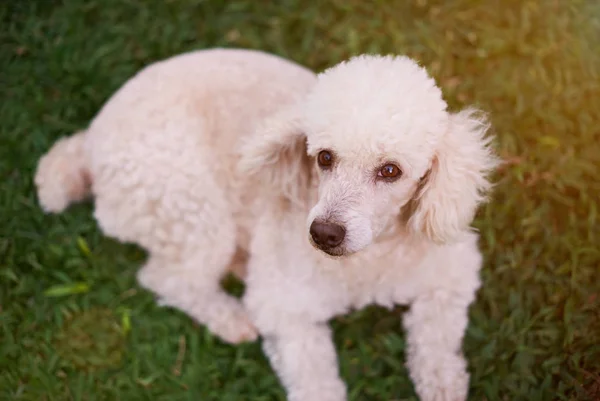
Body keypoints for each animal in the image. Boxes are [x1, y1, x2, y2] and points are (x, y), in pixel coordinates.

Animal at [35, 47, 500, 400]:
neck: (368, 258)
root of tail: (89, 140)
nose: (324, 234)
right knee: (167, 277)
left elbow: (437, 339)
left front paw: (444, 384)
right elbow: (314, 378)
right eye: (324, 157)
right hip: (190, 205)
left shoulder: (452, 273)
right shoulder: (283, 307)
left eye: (391, 171)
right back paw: (232, 318)